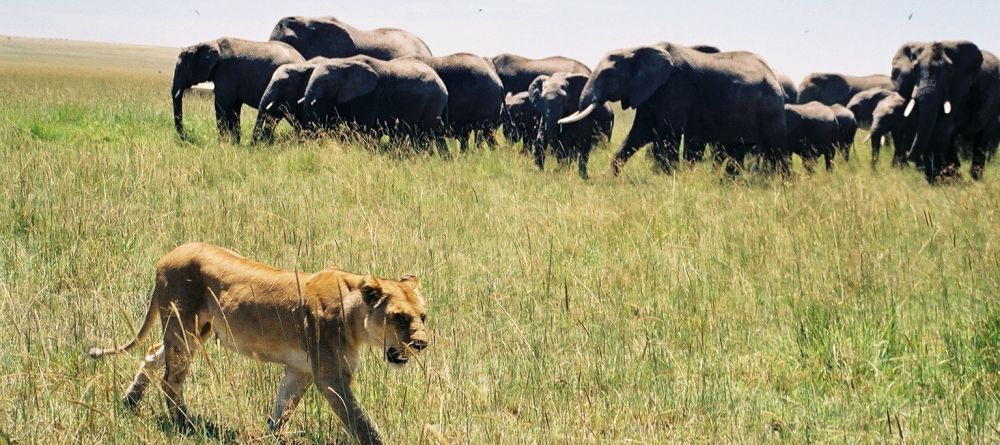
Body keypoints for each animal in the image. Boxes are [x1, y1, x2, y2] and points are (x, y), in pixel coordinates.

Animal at [87, 242, 428, 445]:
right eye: (400, 318)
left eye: (423, 316)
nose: (422, 344)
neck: (356, 314)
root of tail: (170, 254)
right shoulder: (331, 376)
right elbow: (360, 422)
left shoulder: (301, 370)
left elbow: (283, 408)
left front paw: (272, 437)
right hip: (183, 329)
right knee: (171, 378)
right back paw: (185, 426)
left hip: (196, 332)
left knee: (151, 356)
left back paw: (130, 402)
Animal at [171, 37, 304, 143]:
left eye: (182, 68)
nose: (185, 136)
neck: (209, 43)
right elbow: (234, 108)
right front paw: (235, 142)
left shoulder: (226, 73)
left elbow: (222, 105)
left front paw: (222, 143)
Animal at [301, 55, 448, 150]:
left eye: (326, 81)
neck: (345, 61)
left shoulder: (370, 96)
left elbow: (361, 127)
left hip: (433, 103)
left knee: (425, 133)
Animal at [559, 42, 788, 176]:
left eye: (607, 75)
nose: (590, 176)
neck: (638, 48)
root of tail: (772, 75)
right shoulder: (650, 92)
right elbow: (640, 133)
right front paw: (612, 175)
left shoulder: (676, 88)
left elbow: (667, 132)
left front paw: (667, 177)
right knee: (737, 148)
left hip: (770, 110)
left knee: (775, 149)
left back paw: (782, 182)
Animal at [891, 41, 1000, 182]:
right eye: (914, 70)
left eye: (949, 72)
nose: (908, 153)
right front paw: (942, 179)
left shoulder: (957, 91)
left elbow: (942, 129)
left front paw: (944, 180)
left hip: (994, 105)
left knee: (983, 138)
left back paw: (975, 179)